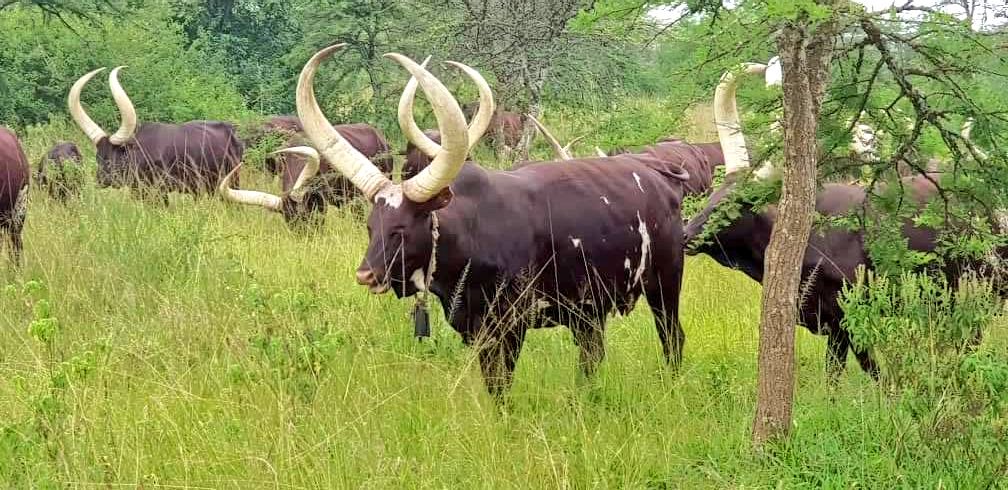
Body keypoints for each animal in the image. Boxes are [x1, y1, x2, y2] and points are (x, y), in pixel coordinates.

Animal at [68, 67, 244, 202]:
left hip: (231, 180)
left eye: (112, 159)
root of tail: (231, 131)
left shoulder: (160, 190)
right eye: (98, 157)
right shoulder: (139, 191)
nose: (101, 180)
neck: (140, 152)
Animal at [296, 45, 691, 399]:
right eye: (370, 226)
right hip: (589, 312)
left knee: (672, 338)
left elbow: (501, 385)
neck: (471, 235)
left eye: (401, 229)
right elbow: (493, 384)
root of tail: (660, 176)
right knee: (591, 356)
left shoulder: (509, 326)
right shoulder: (475, 329)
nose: (366, 274)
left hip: (665, 284)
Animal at [683, 62, 981, 380]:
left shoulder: (846, 322)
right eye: (712, 196)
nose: (685, 234)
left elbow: (861, 373)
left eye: (734, 205)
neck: (809, 238)